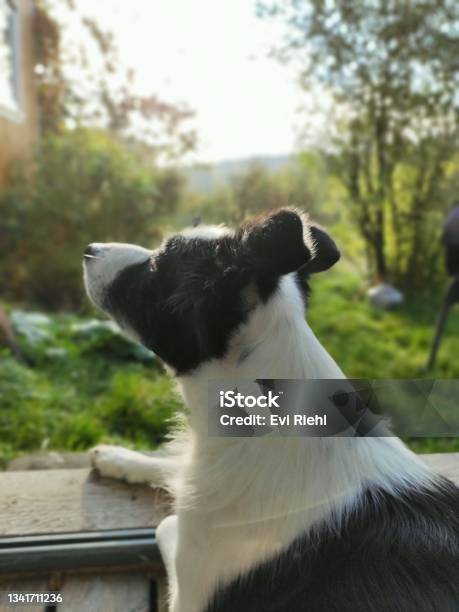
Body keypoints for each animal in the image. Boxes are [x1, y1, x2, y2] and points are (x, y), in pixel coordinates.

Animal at [83, 208, 459, 608]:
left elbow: (168, 522)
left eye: (158, 263)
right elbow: (171, 468)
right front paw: (119, 457)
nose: (90, 249)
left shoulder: (192, 591)